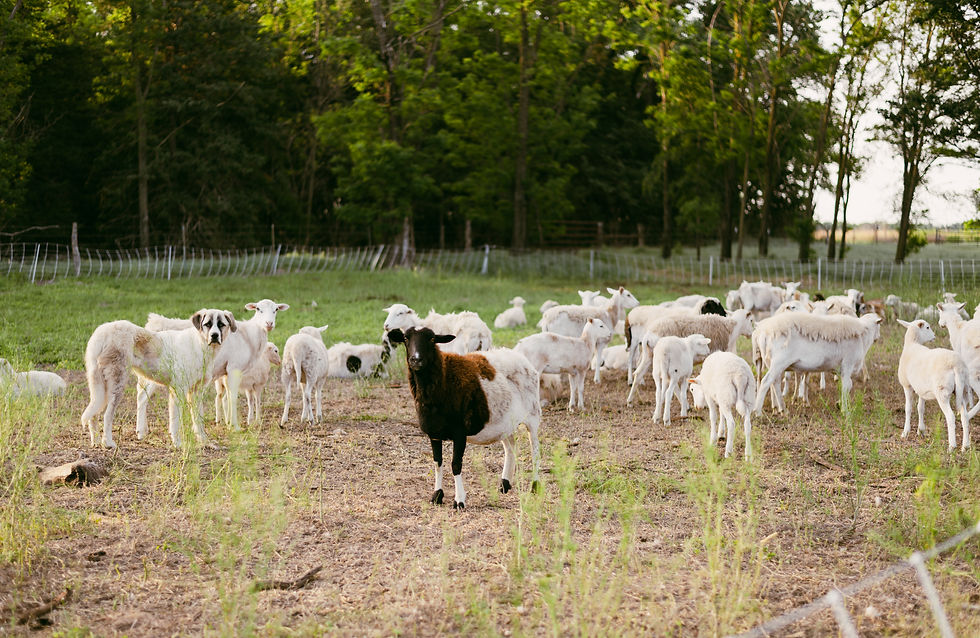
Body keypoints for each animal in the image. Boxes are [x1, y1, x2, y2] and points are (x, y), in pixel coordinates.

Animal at [386, 326, 541, 510]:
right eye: (405, 338)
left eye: (432, 339)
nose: (416, 360)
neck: (443, 378)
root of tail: (521, 358)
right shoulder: (434, 433)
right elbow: (437, 462)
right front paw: (436, 496)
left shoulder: (459, 432)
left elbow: (455, 464)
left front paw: (459, 501)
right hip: (505, 422)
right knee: (510, 448)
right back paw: (504, 485)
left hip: (533, 415)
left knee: (535, 450)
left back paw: (535, 486)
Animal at [753, 312, 882, 413]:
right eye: (879, 325)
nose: (878, 338)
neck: (863, 336)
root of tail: (763, 331)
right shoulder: (848, 364)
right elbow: (846, 386)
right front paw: (845, 410)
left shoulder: (841, 369)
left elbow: (847, 386)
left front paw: (839, 404)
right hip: (779, 362)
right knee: (766, 382)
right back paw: (758, 411)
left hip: (772, 363)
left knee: (774, 383)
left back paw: (782, 409)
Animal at [896, 319, 980, 451]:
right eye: (927, 327)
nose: (934, 336)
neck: (912, 344)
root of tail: (956, 365)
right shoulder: (921, 389)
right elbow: (920, 408)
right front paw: (921, 430)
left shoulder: (907, 385)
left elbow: (908, 408)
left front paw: (905, 432)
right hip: (962, 390)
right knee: (965, 417)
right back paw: (965, 446)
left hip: (942, 392)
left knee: (950, 416)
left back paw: (952, 446)